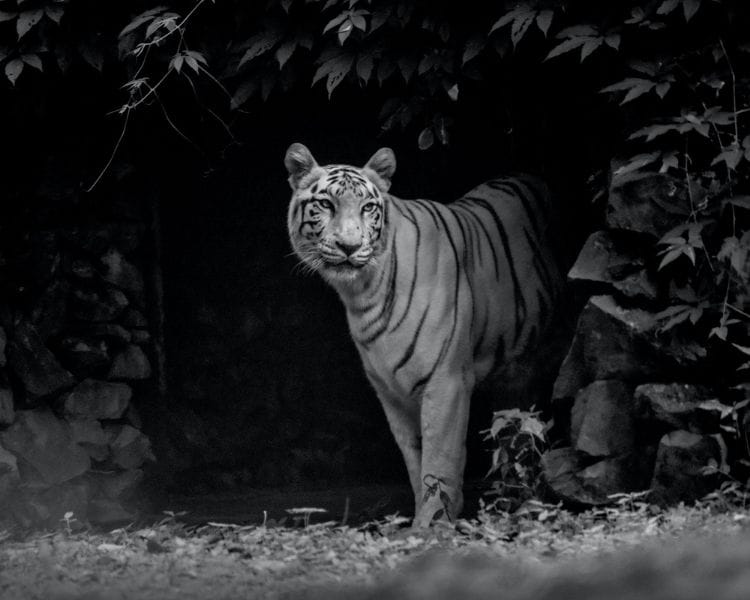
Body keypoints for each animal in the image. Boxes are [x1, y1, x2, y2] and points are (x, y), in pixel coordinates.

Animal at [284, 143, 561, 527]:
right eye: (326, 204)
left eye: (367, 207)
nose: (349, 246)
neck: (363, 293)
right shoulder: (390, 391)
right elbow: (415, 457)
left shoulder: (447, 381)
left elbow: (439, 458)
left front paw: (432, 523)